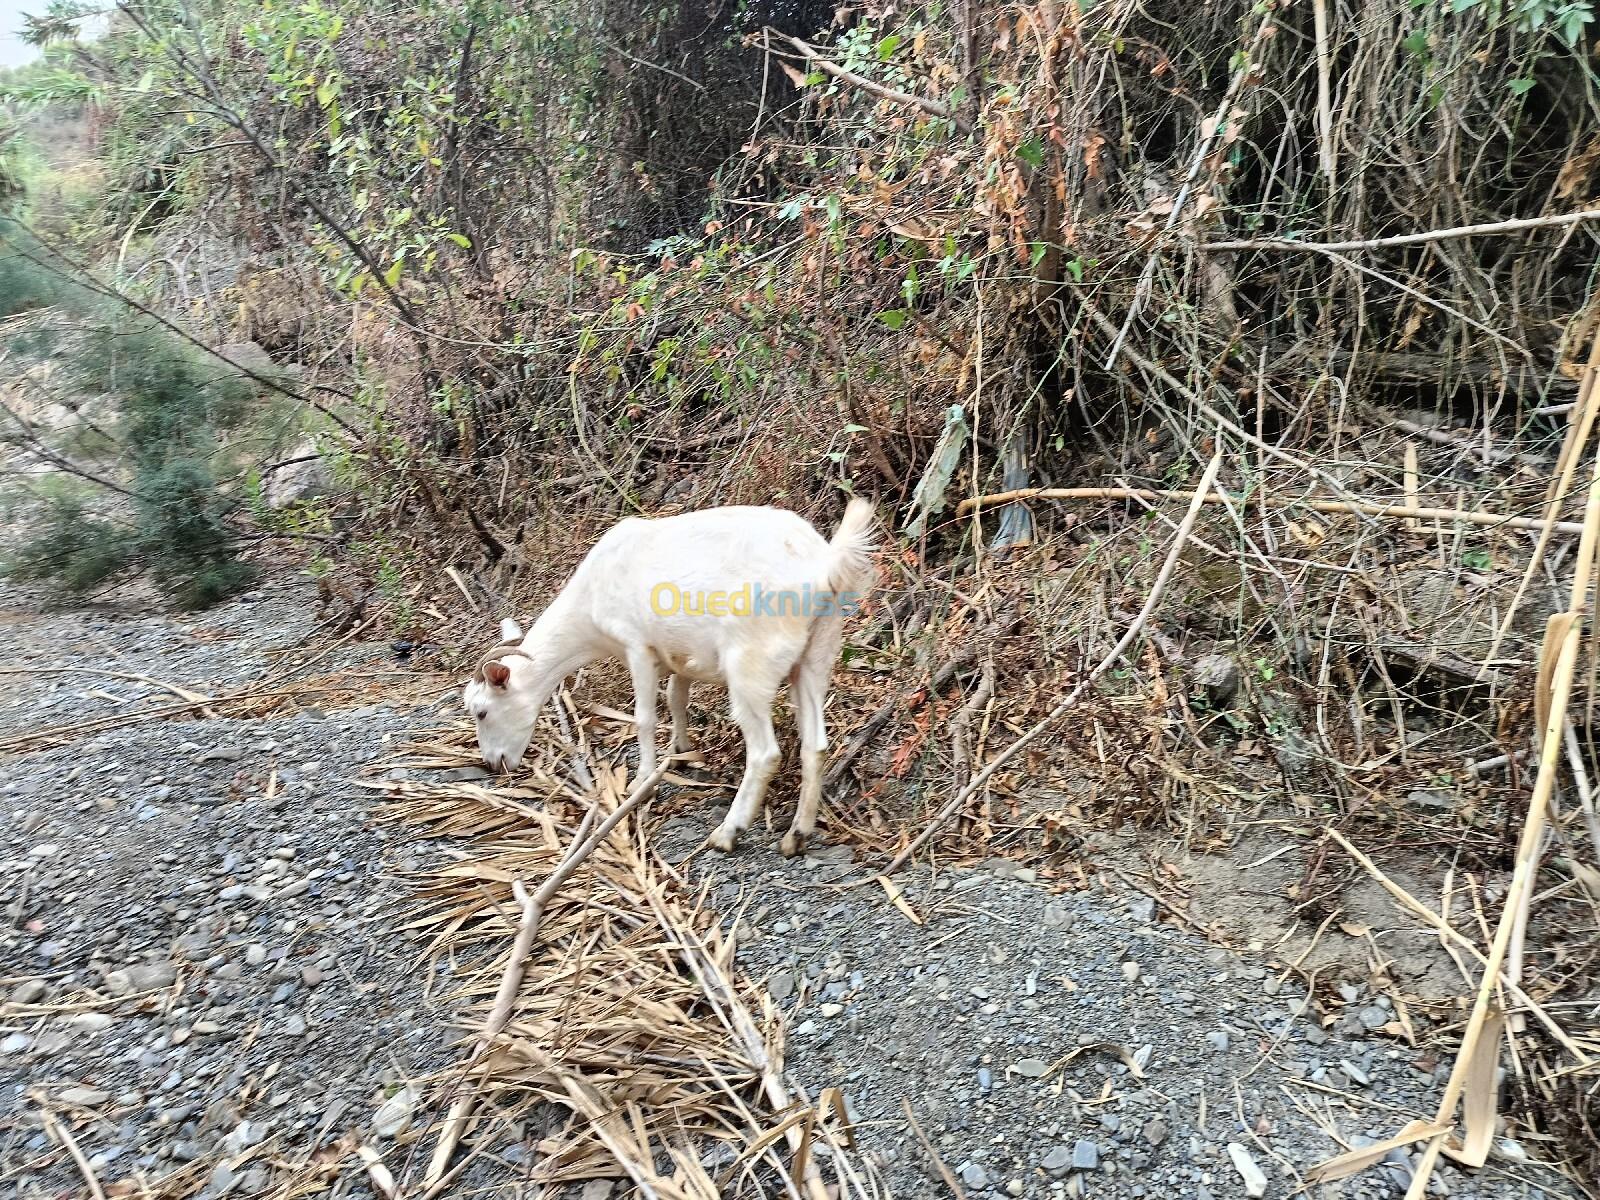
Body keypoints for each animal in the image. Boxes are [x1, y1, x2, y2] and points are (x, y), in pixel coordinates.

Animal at [467, 499, 876, 857]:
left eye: (482, 711)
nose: (493, 764)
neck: (591, 601)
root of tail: (823, 566)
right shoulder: (681, 656)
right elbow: (676, 699)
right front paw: (681, 752)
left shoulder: (638, 647)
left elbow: (645, 717)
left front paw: (642, 782)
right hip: (817, 654)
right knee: (815, 746)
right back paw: (797, 836)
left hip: (751, 664)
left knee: (764, 753)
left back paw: (728, 832)